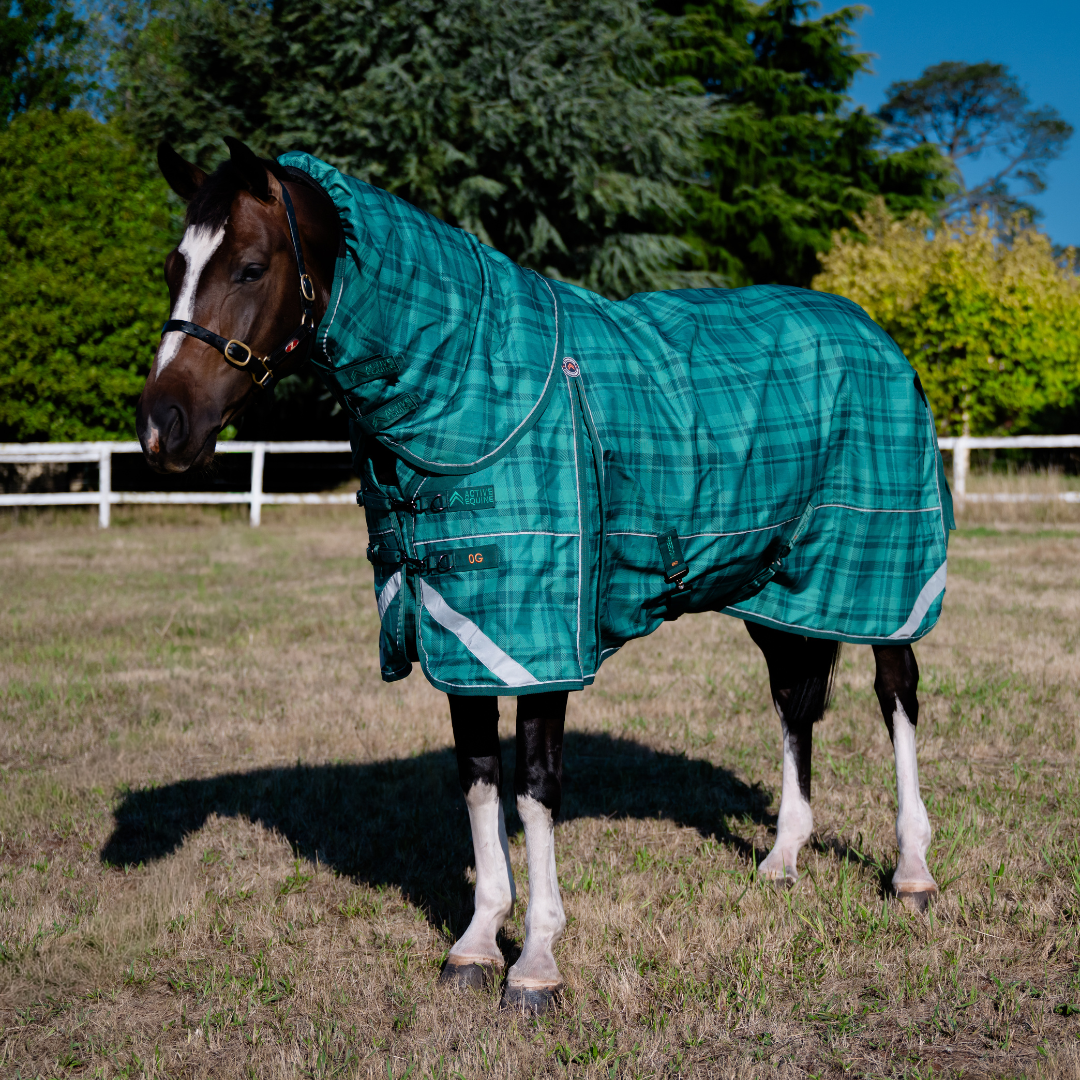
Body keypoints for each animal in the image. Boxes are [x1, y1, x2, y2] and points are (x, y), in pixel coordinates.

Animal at [137, 138, 951, 1015]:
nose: (160, 427)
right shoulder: (459, 627)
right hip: (777, 586)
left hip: (886, 577)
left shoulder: (539, 640)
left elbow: (532, 786)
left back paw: (912, 871)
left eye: (251, 267)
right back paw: (782, 858)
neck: (472, 386)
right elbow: (477, 779)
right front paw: (474, 942)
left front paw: (535, 961)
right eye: (172, 266)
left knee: (896, 695)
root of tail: (870, 330)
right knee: (793, 703)